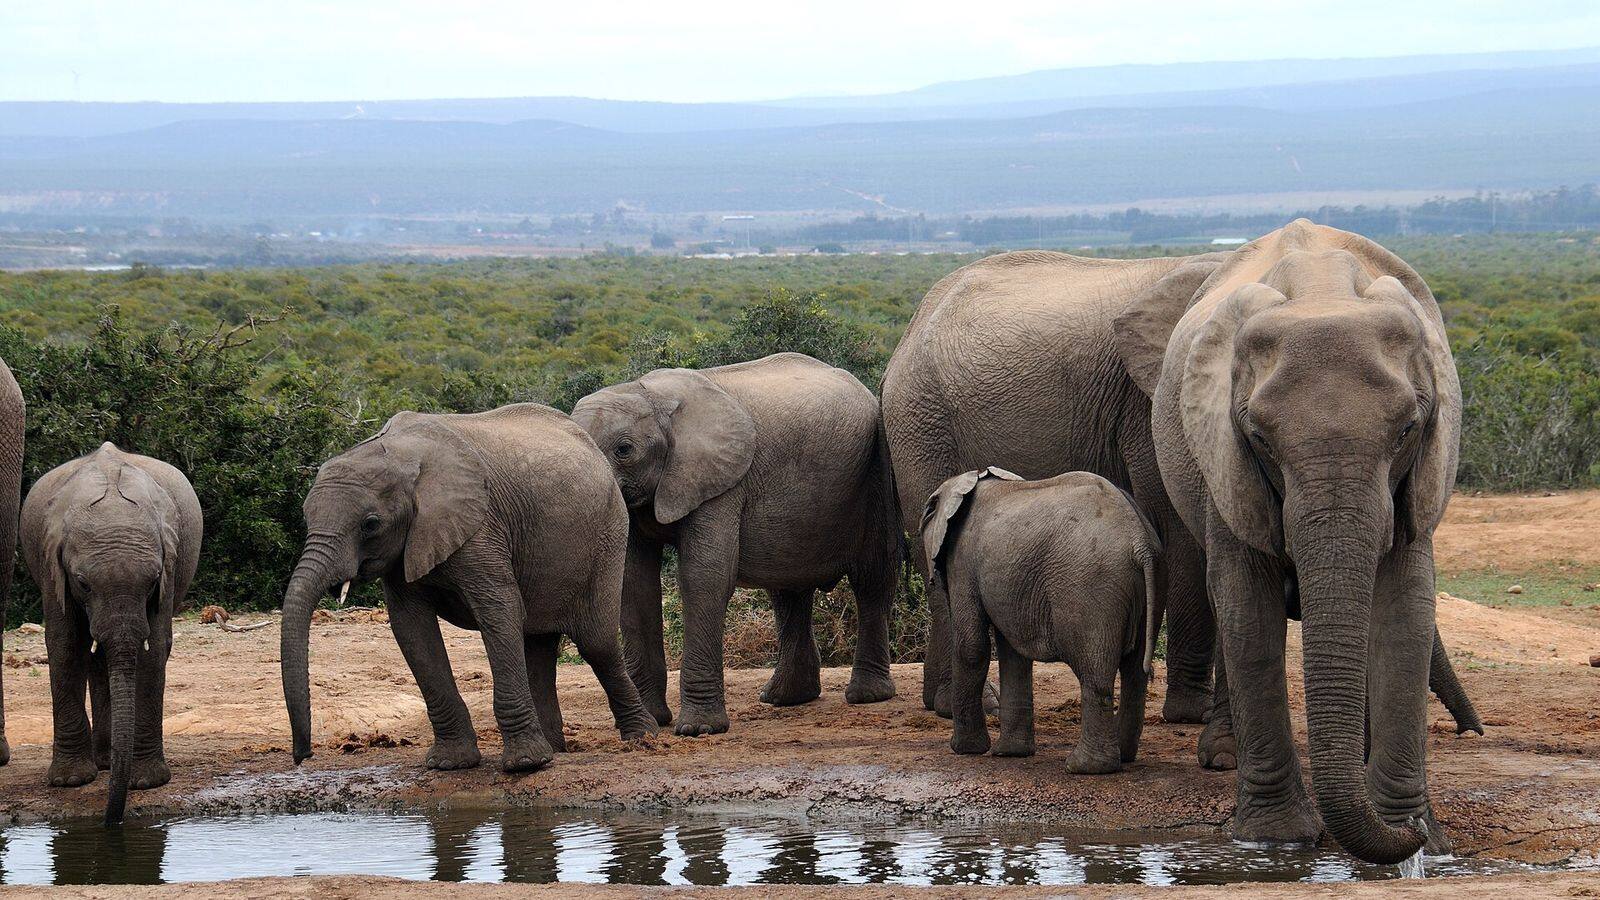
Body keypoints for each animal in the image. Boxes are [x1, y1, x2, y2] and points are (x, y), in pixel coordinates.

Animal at [20, 442, 201, 824]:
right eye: (83, 583)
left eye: (152, 581)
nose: (110, 822)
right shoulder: (51, 565)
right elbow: (65, 645)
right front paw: (71, 781)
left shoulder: (170, 565)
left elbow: (153, 650)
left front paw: (145, 782)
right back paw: (103, 762)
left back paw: (109, 760)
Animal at [279, 404, 657, 774]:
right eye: (306, 517)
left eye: (370, 525)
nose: (303, 755)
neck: (399, 457)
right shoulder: (408, 547)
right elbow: (411, 629)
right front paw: (451, 764)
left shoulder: (481, 527)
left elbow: (499, 610)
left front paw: (525, 764)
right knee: (538, 644)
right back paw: (556, 749)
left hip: (609, 533)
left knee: (596, 644)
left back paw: (643, 737)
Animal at [572, 352, 900, 736]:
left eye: (624, 449)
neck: (651, 396)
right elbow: (635, 583)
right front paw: (653, 721)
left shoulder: (721, 481)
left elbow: (705, 577)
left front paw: (698, 730)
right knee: (787, 589)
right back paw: (785, 698)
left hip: (875, 472)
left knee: (872, 578)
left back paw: (867, 696)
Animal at [922, 468, 1159, 773]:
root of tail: (1139, 542)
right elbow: (1013, 654)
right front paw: (1009, 753)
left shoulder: (962, 561)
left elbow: (971, 647)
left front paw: (965, 750)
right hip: (1151, 578)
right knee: (1135, 671)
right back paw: (1124, 755)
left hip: (1090, 586)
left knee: (1094, 669)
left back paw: (1083, 767)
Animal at [1114, 219, 1462, 863]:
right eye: (1259, 438)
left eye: (1408, 429)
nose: (1410, 835)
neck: (1323, 290)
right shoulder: (1225, 457)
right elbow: (1249, 611)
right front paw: (1276, 838)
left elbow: (1404, 610)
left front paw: (1418, 837)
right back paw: (1224, 756)